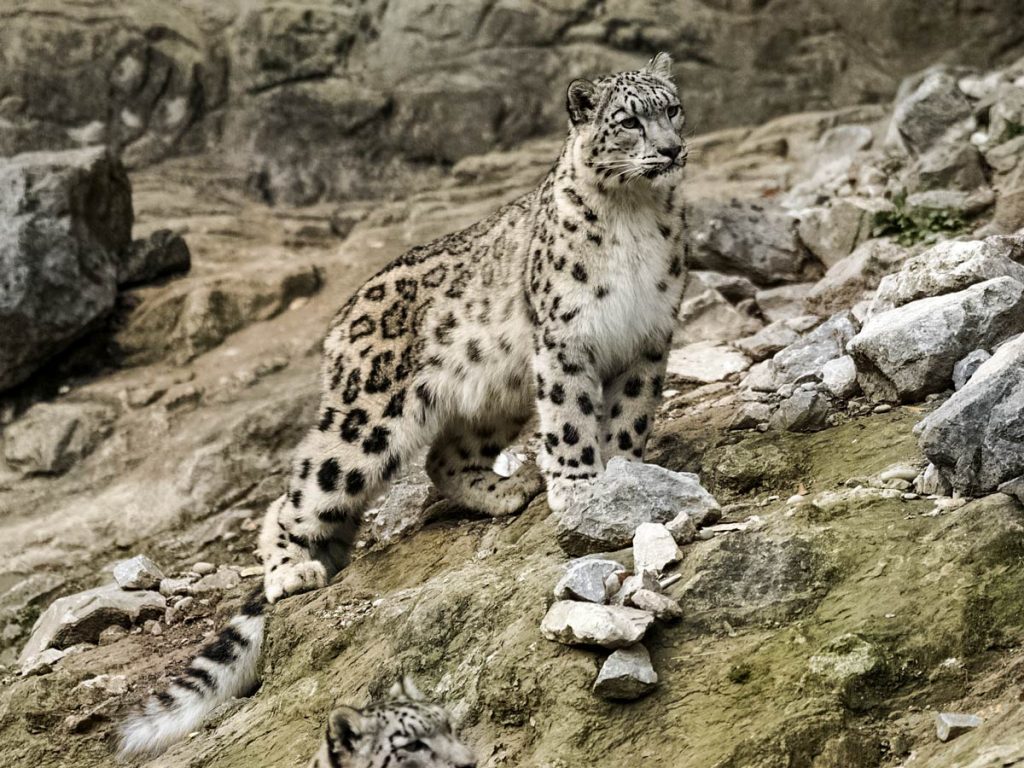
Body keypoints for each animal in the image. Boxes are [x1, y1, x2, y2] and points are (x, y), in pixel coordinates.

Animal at [119, 51, 688, 757]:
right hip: (364, 421)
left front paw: (628, 477)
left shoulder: (648, 340)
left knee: (443, 459)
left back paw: (506, 489)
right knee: (295, 496)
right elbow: (572, 418)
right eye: (629, 121)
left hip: (491, 396)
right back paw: (291, 571)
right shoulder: (565, 341)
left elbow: (629, 419)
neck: (634, 217)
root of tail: (339, 323)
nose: (672, 149)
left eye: (673, 108)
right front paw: (583, 486)